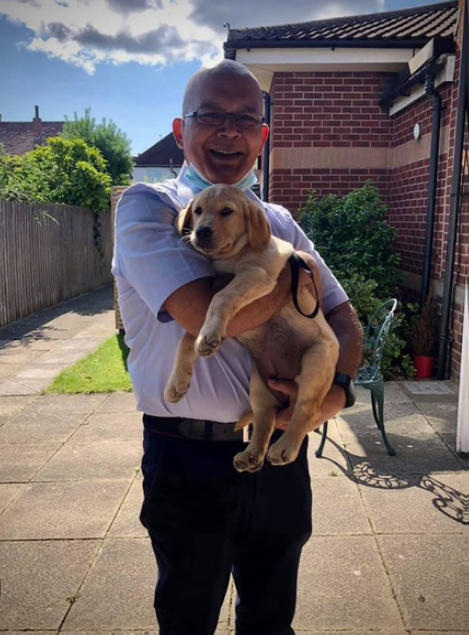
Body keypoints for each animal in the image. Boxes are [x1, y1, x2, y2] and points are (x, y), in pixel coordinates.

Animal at [165, 184, 336, 472]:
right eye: (197, 211)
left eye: (226, 211)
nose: (201, 231)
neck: (231, 258)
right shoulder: (202, 309)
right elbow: (187, 338)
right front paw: (177, 381)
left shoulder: (256, 274)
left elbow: (220, 297)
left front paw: (208, 336)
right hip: (258, 384)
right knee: (265, 419)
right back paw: (251, 454)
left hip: (317, 360)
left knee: (305, 410)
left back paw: (285, 447)